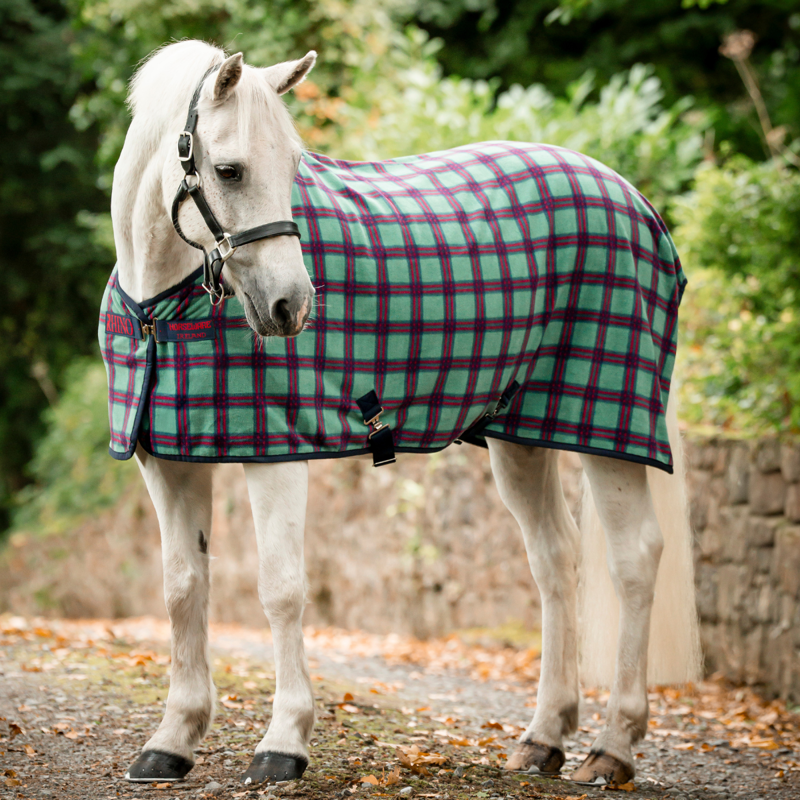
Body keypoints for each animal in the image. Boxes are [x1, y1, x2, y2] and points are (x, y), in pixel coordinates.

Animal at [103, 39, 701, 787]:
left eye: (294, 165)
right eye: (229, 169)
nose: (291, 307)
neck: (163, 305)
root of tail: (634, 199)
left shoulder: (275, 457)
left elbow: (281, 588)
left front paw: (283, 744)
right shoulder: (167, 461)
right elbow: (183, 588)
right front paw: (171, 742)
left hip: (606, 432)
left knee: (633, 560)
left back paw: (613, 747)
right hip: (521, 436)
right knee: (554, 559)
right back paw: (543, 739)